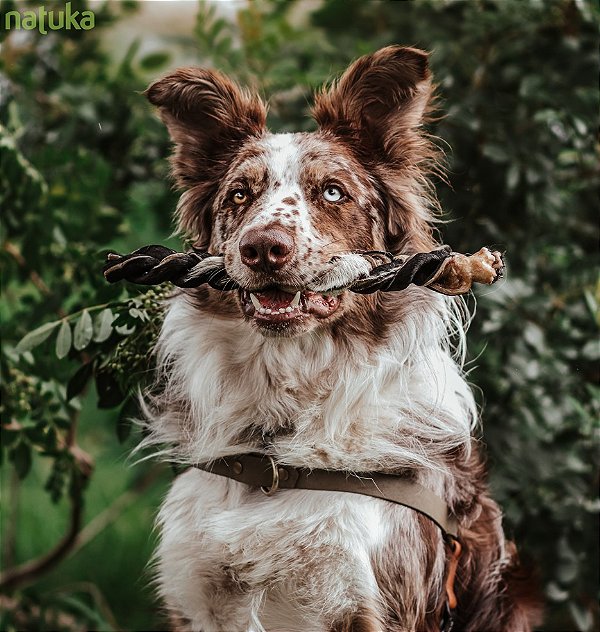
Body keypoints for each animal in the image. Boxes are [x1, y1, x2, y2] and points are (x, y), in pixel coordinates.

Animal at [138, 45, 540, 632]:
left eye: (333, 192)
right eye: (239, 194)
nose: (263, 248)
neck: (277, 447)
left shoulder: (369, 598)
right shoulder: (196, 594)